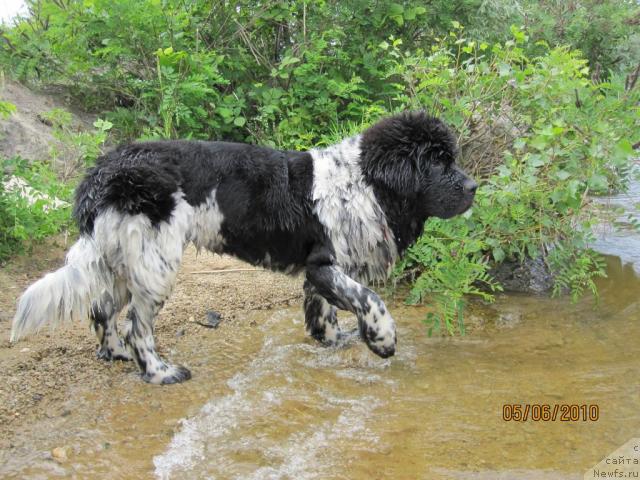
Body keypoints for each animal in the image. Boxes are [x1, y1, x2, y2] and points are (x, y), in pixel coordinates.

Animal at [10, 110, 476, 384]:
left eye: (450, 158)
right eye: (437, 163)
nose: (473, 186)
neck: (366, 182)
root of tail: (105, 170)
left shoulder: (317, 270)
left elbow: (323, 312)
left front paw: (330, 340)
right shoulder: (327, 263)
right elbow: (370, 299)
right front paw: (381, 340)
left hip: (125, 260)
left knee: (103, 308)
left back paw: (115, 354)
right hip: (155, 263)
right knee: (136, 325)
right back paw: (159, 372)